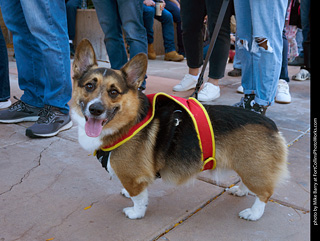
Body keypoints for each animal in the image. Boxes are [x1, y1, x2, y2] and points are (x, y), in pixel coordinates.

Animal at [71, 39, 288, 220]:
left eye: (114, 92)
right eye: (89, 86)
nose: (96, 109)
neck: (127, 123)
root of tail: (272, 126)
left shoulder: (133, 177)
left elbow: (139, 198)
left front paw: (135, 213)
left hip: (252, 167)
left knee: (265, 193)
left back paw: (253, 213)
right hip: (248, 166)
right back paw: (241, 191)